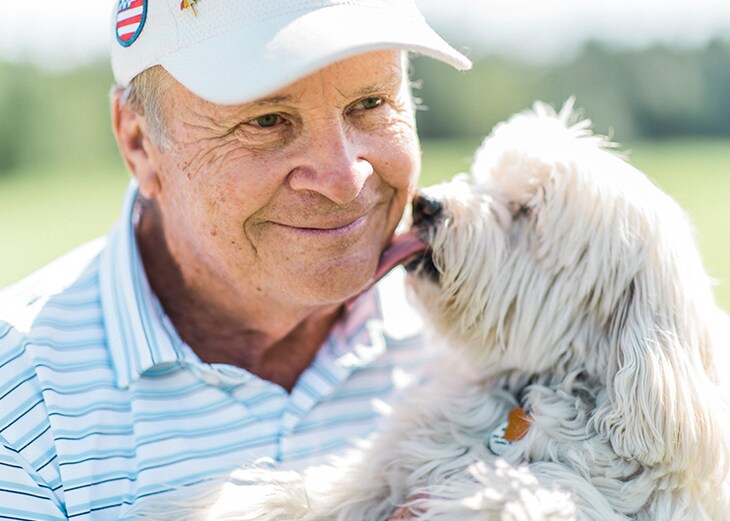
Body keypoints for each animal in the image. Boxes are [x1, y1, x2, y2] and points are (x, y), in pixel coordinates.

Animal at [134, 102, 724, 520]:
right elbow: (312, 491)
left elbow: (516, 494)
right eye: (481, 178)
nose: (426, 204)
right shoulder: (390, 461)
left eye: (525, 210)